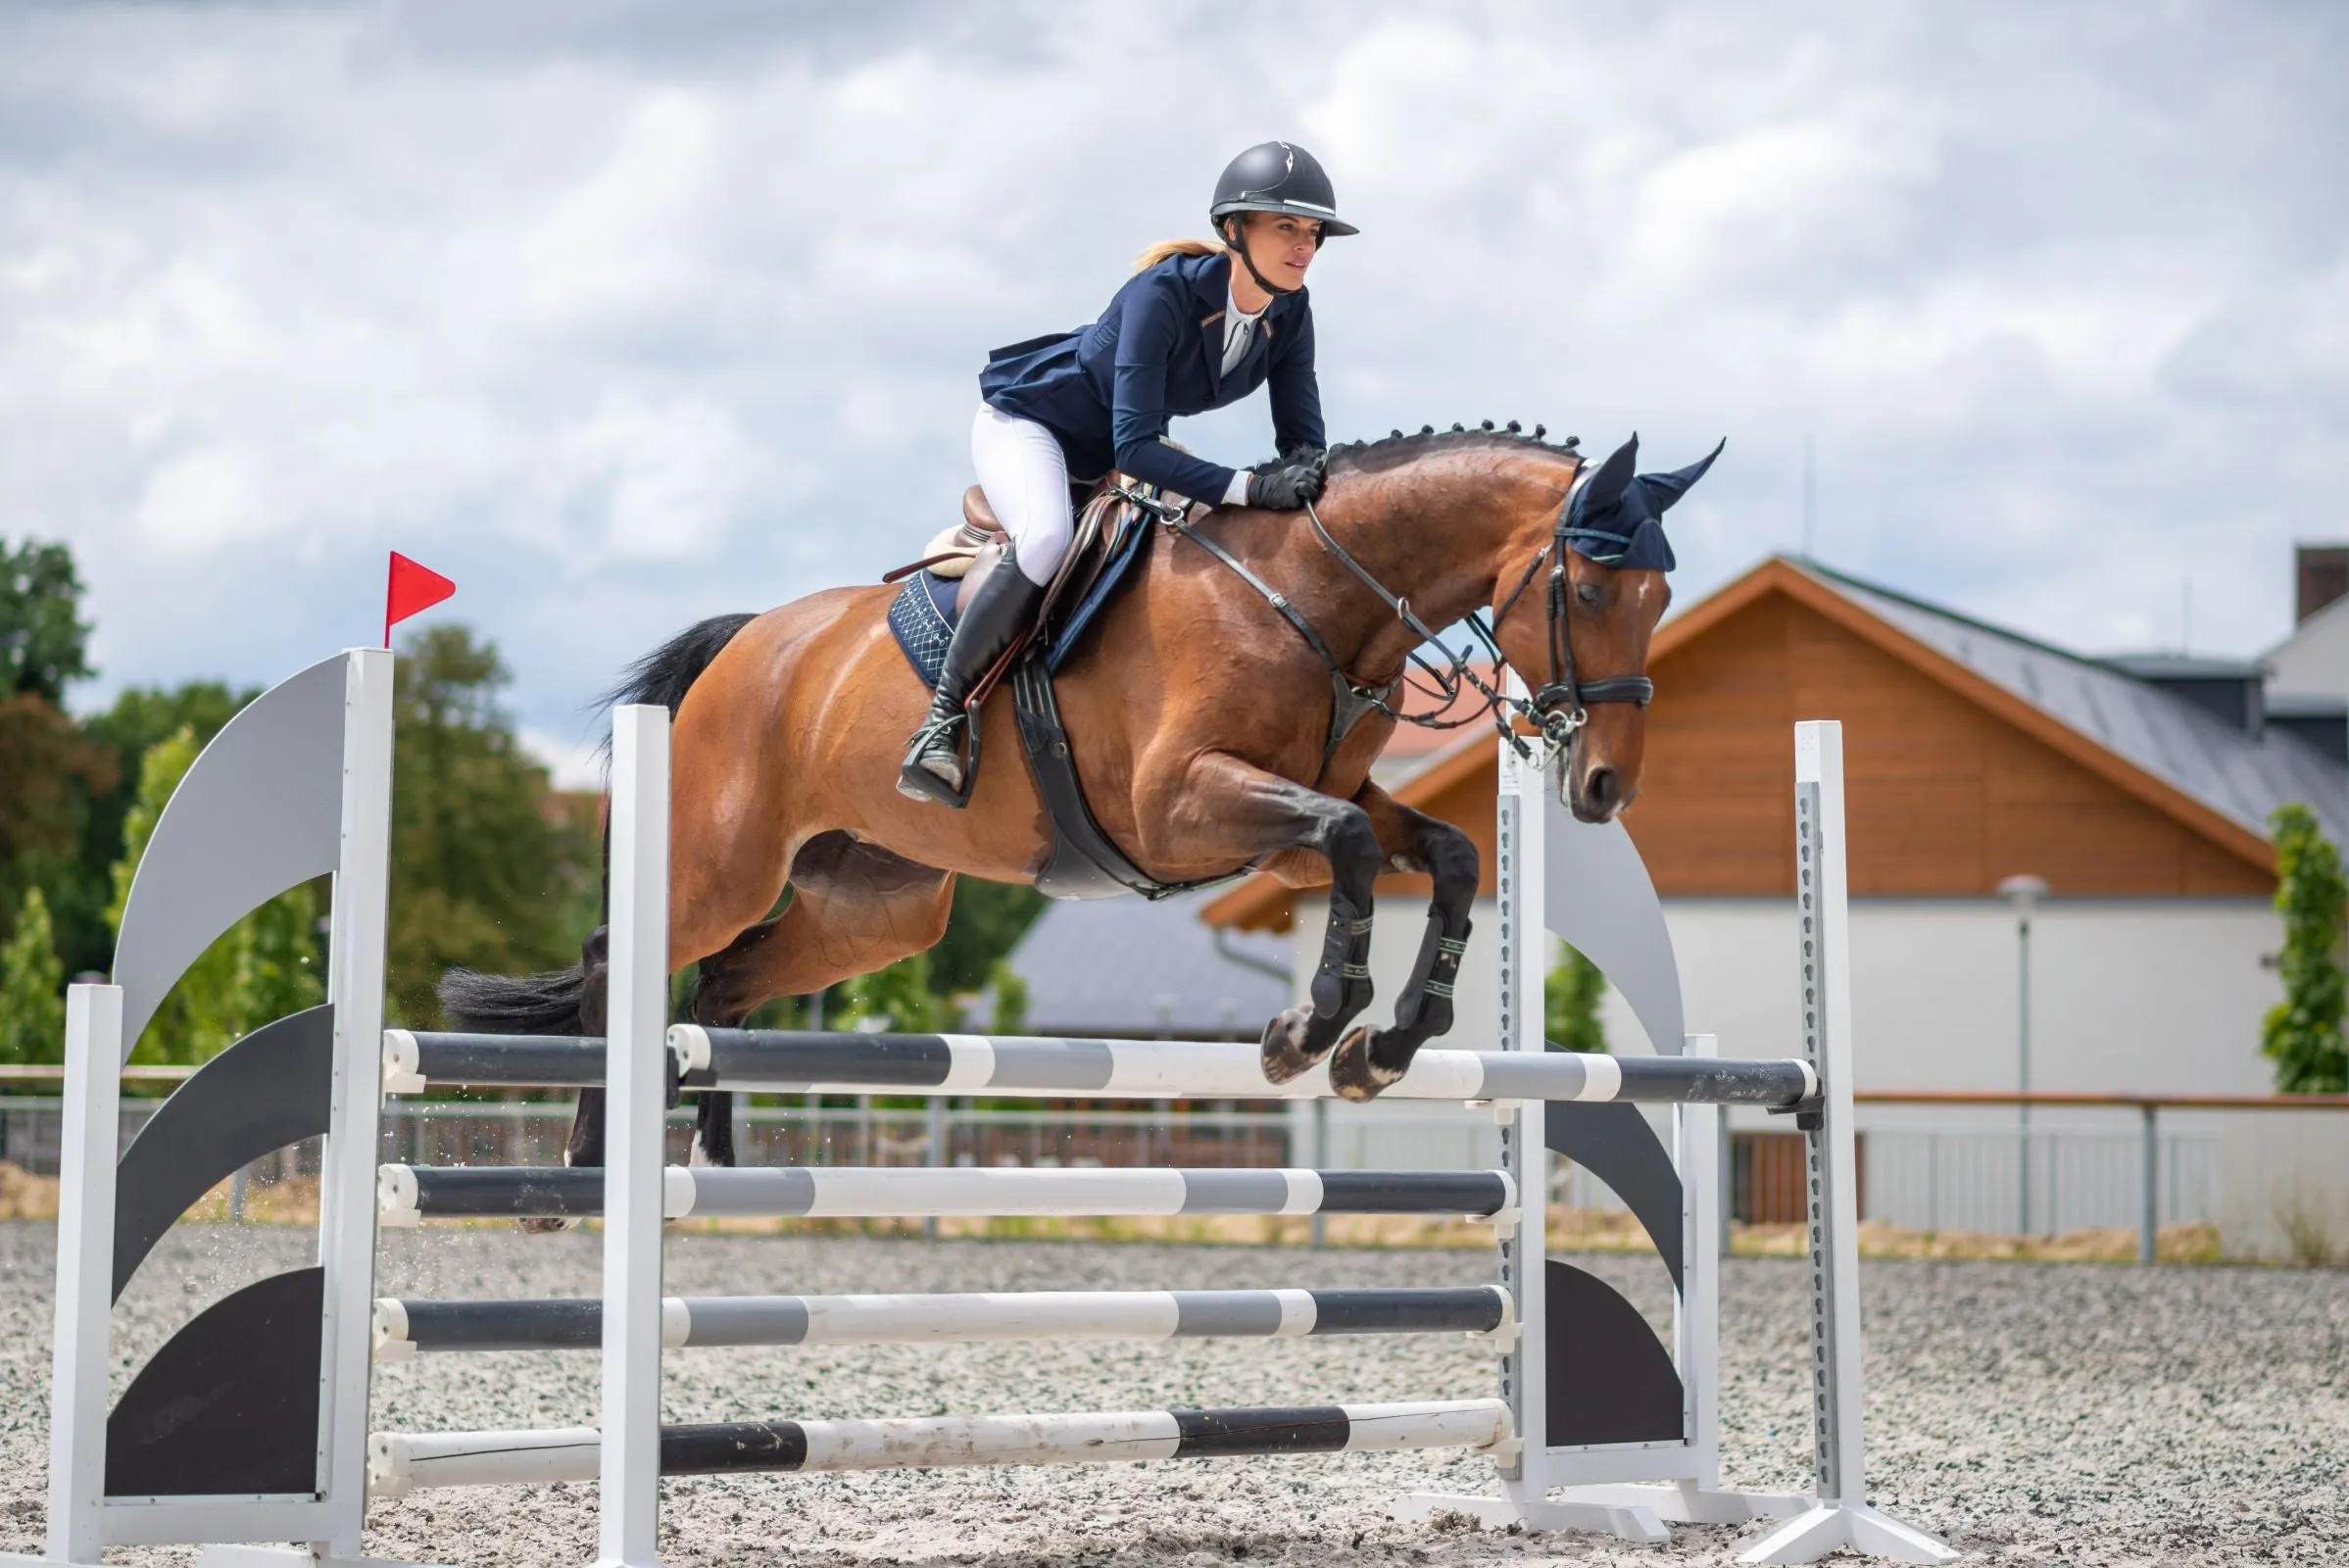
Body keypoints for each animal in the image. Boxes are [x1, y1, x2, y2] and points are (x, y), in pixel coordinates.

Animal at [444, 422, 1710, 1168]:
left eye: (1659, 596)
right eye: (1589, 586)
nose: (1603, 783)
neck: (1312, 597)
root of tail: (750, 641)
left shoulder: (1280, 826)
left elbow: (1436, 853)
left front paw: (1385, 1045)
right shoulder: (1185, 807)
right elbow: (1354, 839)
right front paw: (1308, 1030)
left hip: (878, 909)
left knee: (726, 983)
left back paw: (714, 1156)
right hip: (724, 863)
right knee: (620, 956)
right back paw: (588, 1162)